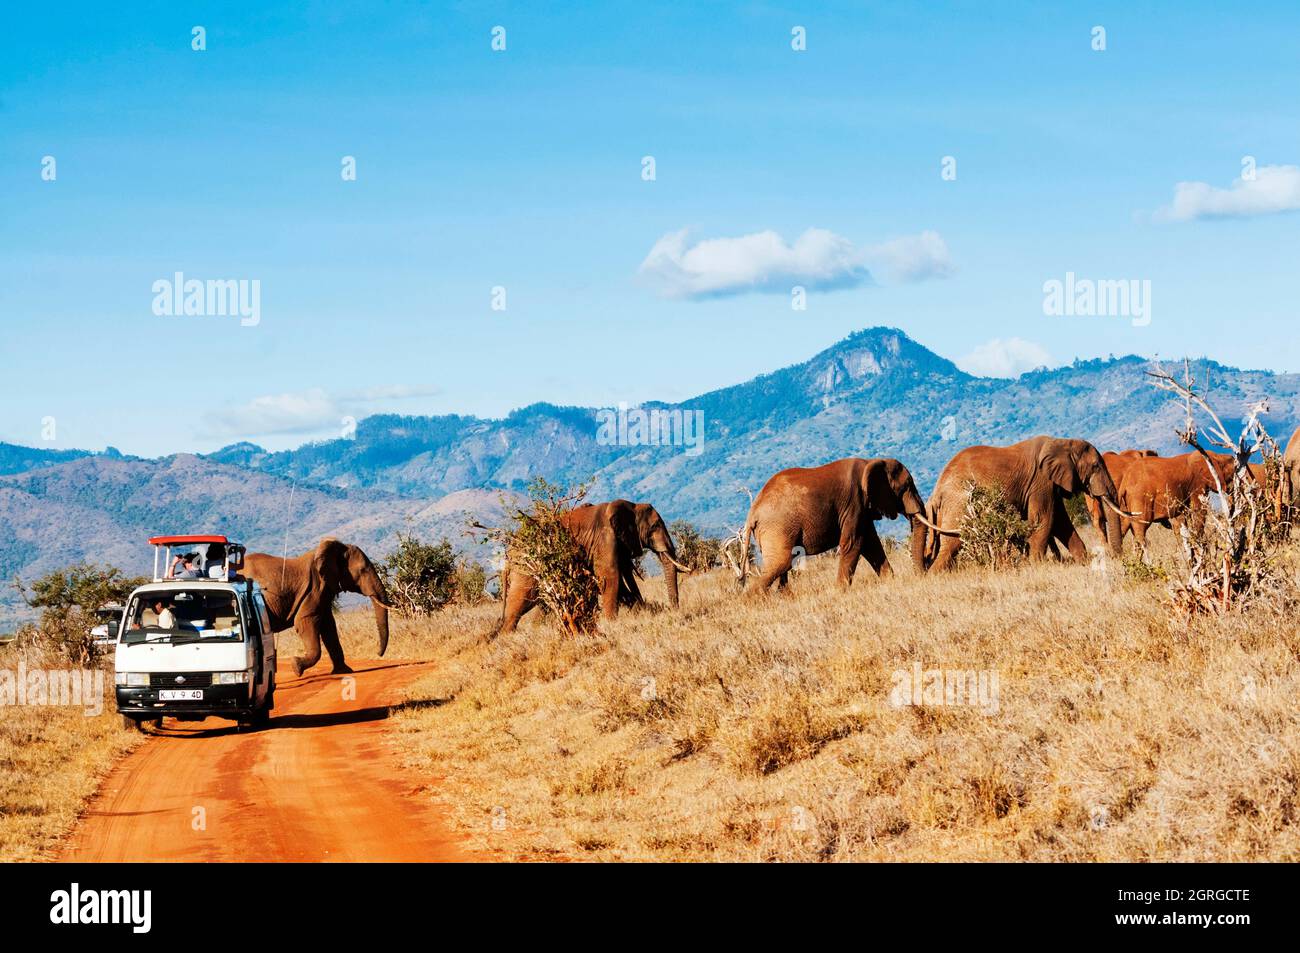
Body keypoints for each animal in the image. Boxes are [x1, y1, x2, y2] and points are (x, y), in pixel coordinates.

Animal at [241, 535, 387, 676]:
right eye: (363, 570)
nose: (378, 653)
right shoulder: (314, 589)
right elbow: (304, 621)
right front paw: (296, 666)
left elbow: (328, 626)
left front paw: (344, 671)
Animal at [496, 499, 691, 631]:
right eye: (655, 526)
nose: (674, 612)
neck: (631, 506)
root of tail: (509, 554)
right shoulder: (605, 540)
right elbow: (610, 578)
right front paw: (612, 624)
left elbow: (619, 583)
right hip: (527, 568)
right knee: (522, 601)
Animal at [738, 452, 941, 587]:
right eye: (906, 487)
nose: (924, 570)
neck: (870, 462)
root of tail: (752, 512)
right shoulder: (854, 503)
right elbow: (854, 543)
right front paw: (840, 591)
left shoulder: (862, 510)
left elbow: (871, 544)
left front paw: (889, 581)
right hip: (778, 527)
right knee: (782, 562)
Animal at [920, 434, 1123, 572]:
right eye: (1096, 466)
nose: (1115, 556)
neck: (1062, 442)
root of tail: (936, 491)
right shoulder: (1041, 482)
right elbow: (1043, 520)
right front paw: (1037, 566)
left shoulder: (1051, 485)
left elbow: (1061, 522)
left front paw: (1084, 562)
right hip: (960, 505)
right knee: (952, 544)